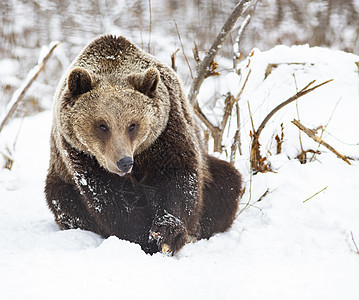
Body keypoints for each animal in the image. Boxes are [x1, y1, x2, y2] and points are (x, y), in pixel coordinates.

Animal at [44, 34, 242, 255]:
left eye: (132, 125)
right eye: (102, 125)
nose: (124, 162)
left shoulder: (165, 131)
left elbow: (177, 177)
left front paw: (168, 233)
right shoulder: (80, 155)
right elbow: (109, 198)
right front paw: (142, 239)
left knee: (226, 183)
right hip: (60, 179)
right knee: (63, 201)